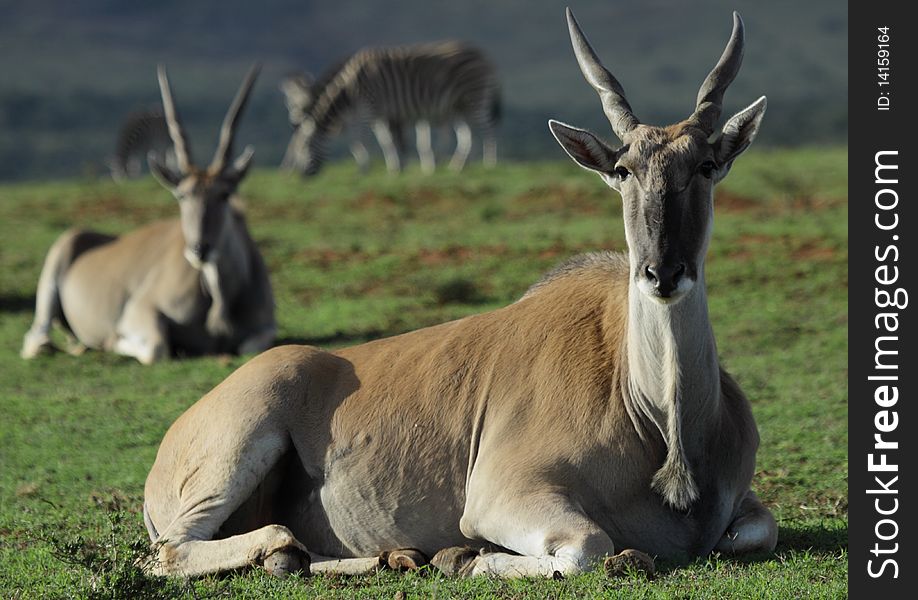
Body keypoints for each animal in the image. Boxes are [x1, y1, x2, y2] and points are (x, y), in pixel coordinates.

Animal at [284, 42, 504, 176]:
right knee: (467, 135)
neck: (350, 87)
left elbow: (367, 140)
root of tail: (484, 56)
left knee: (489, 130)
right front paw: (400, 168)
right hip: (460, 106)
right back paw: (458, 166)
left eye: (305, 147)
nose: (301, 176)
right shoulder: (388, 114)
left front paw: (366, 167)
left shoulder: (371, 108)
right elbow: (396, 142)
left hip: (475, 98)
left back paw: (490, 164)